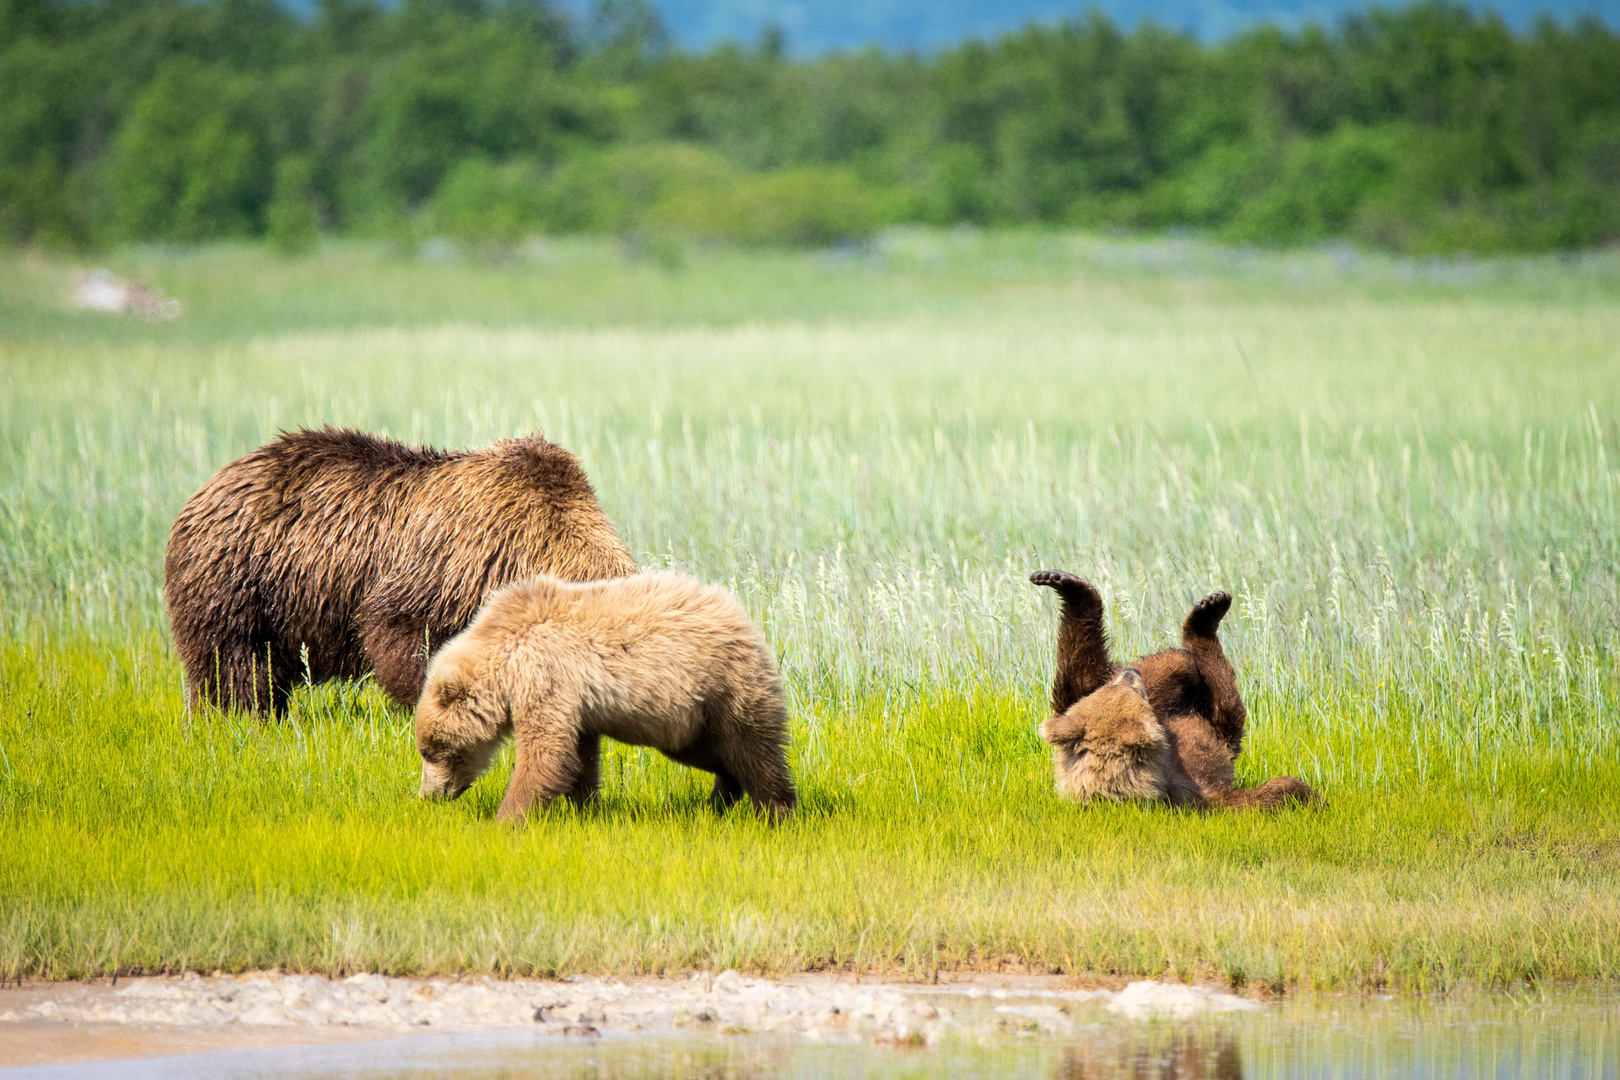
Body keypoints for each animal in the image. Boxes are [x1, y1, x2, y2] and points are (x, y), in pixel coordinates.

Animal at [166, 427, 638, 712]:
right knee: (234, 664)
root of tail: (209, 485)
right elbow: (398, 633)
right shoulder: (448, 568)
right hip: (242, 581)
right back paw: (241, 716)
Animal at [1036, 573, 1315, 809]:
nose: (1130, 673)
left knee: (1079, 667)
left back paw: (1064, 584)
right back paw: (1206, 618)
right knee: (1226, 707)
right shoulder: (1195, 791)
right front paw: (1309, 797)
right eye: (1134, 693)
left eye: (1112, 690)